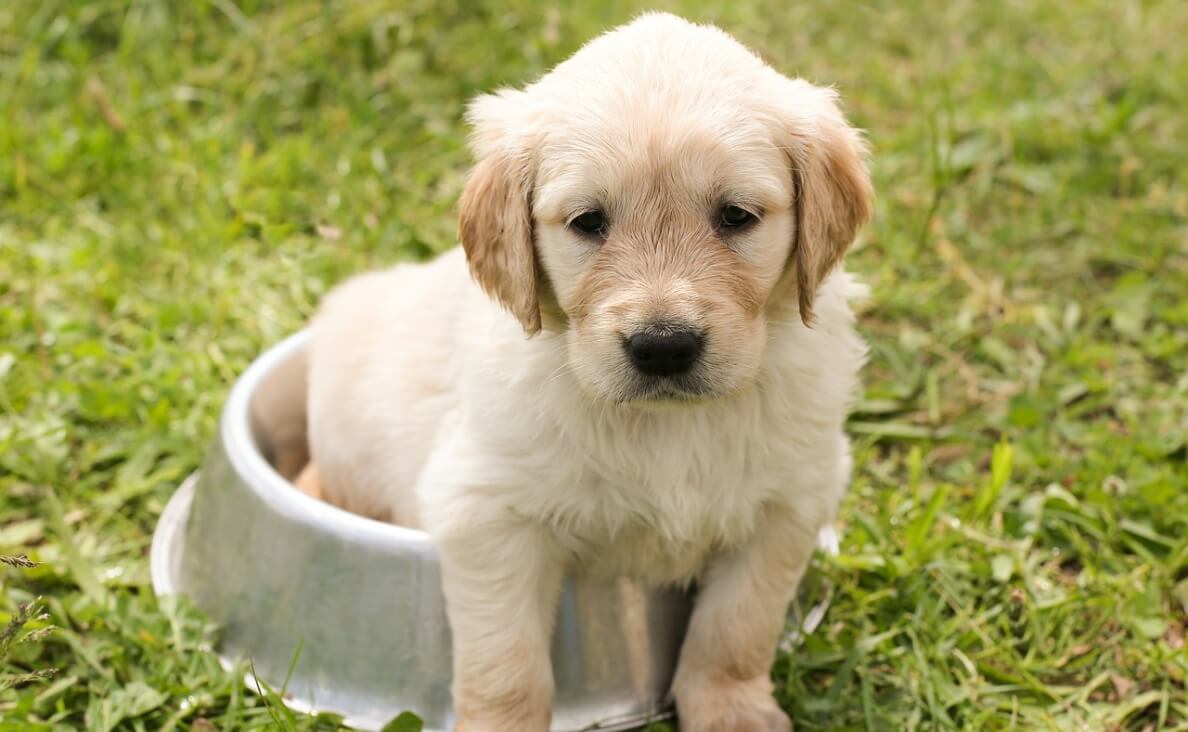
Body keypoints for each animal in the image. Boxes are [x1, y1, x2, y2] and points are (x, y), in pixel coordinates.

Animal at [306, 12, 874, 732]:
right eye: (588, 222)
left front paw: (732, 710)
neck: (667, 426)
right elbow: (507, 667)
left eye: (737, 216)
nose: (663, 347)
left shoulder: (789, 503)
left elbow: (735, 629)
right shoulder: (486, 511)